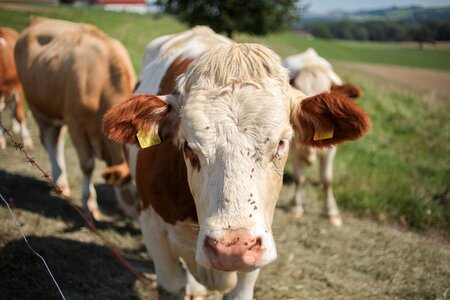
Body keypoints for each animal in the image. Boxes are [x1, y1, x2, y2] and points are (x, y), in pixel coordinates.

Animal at [14, 18, 138, 220]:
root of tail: (37, 19)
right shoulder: (76, 124)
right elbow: (88, 165)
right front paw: (89, 205)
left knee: (56, 140)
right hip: (37, 106)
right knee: (49, 140)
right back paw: (59, 182)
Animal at [284, 48, 366, 225]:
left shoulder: (330, 151)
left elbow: (328, 180)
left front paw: (331, 213)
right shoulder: (294, 151)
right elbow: (299, 178)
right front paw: (296, 206)